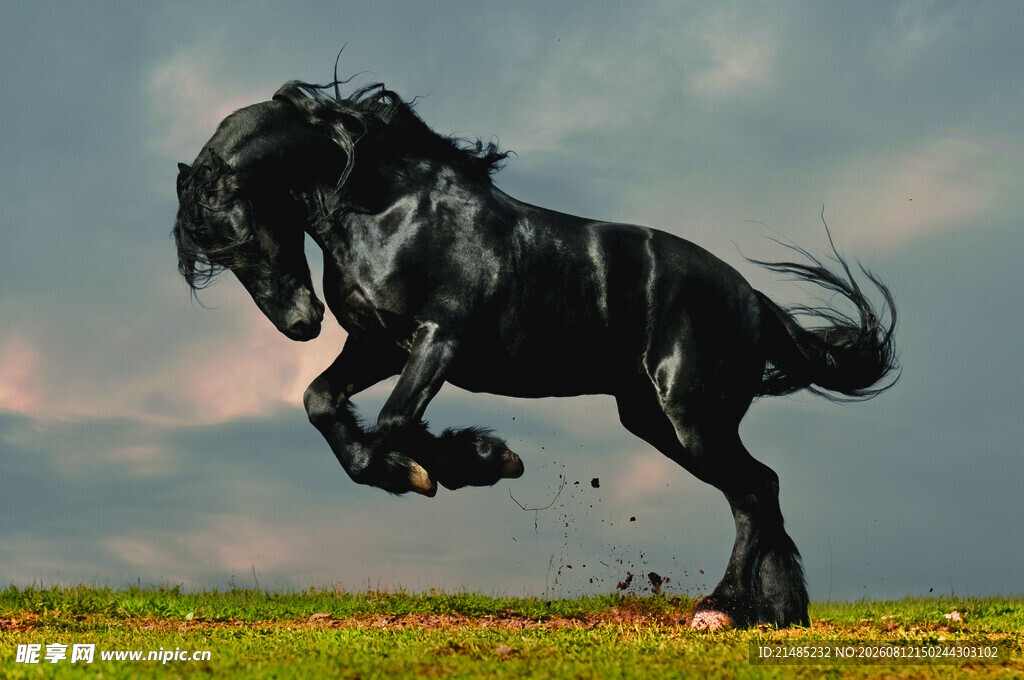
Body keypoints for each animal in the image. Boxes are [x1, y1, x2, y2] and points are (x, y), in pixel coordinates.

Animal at [173, 77, 897, 629]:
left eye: (241, 234)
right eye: (215, 253)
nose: (300, 323)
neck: (392, 210)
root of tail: (752, 299)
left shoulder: (439, 340)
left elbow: (396, 420)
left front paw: (477, 462)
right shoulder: (377, 344)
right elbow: (322, 402)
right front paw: (406, 472)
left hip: (691, 416)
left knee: (753, 491)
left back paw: (720, 609)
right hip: (654, 419)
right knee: (760, 490)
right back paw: (775, 613)